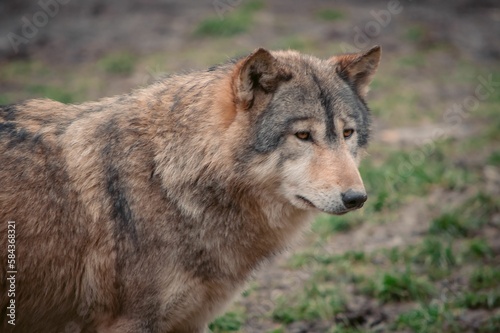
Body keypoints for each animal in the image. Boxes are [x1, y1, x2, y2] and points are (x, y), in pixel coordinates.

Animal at [0, 45, 380, 330]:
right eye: (303, 135)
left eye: (347, 133)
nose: (356, 198)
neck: (166, 178)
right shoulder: (130, 322)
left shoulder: (192, 320)